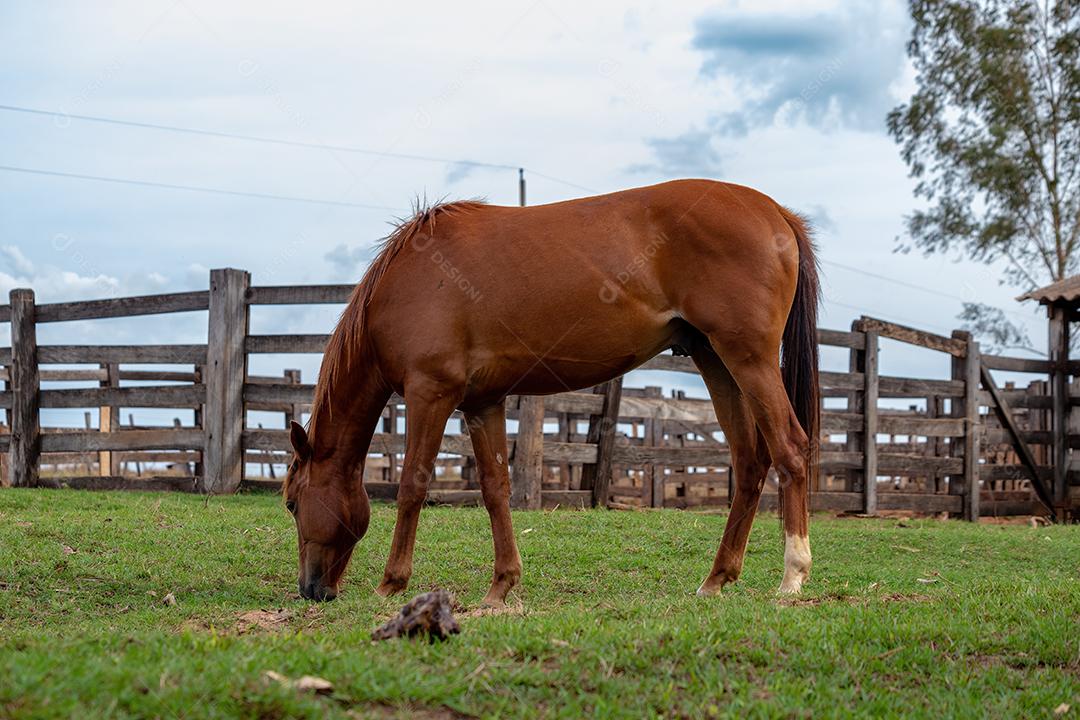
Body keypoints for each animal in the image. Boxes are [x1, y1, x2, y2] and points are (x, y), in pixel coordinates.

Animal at [282, 179, 820, 604]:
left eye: (290, 503)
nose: (312, 590)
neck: (405, 283)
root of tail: (775, 211)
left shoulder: (429, 394)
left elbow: (412, 484)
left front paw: (391, 583)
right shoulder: (482, 403)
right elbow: (495, 489)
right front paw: (501, 585)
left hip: (748, 359)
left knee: (790, 449)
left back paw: (792, 576)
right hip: (717, 361)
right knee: (750, 461)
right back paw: (717, 578)